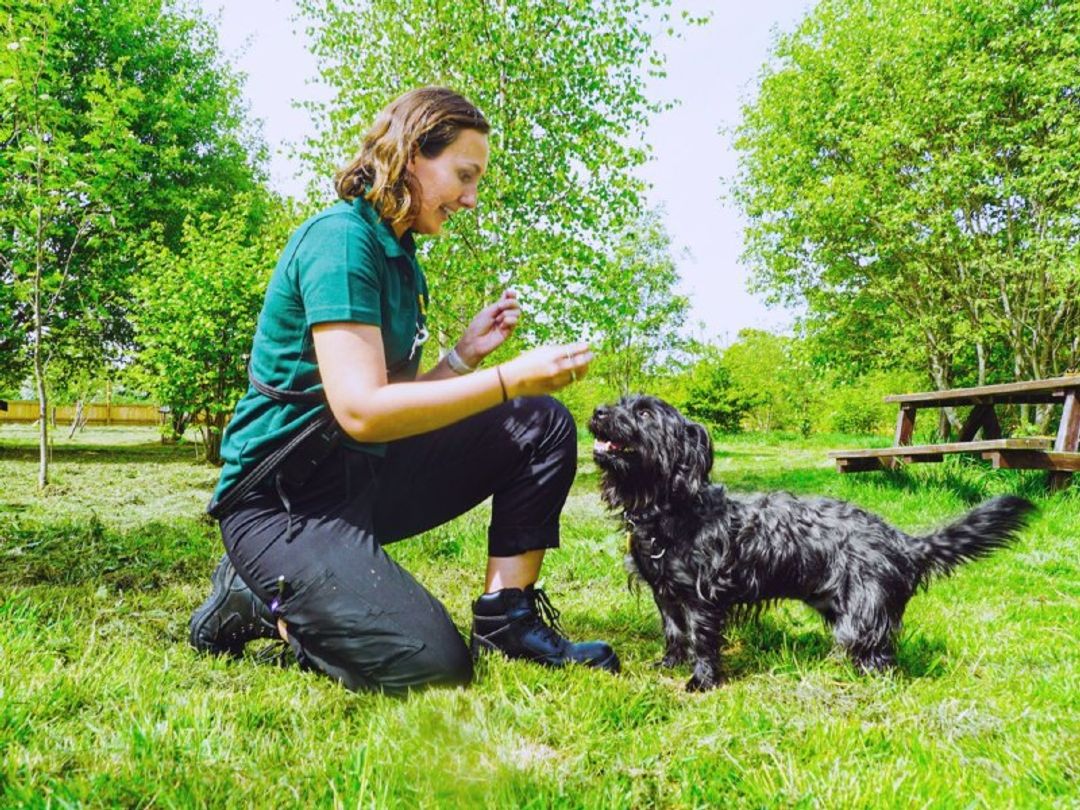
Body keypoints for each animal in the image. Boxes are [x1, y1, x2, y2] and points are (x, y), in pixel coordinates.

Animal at [591, 393, 1036, 691]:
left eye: (644, 413)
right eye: (619, 403)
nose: (596, 412)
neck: (670, 509)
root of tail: (904, 542)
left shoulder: (703, 598)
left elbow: (701, 640)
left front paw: (701, 681)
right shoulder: (665, 594)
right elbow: (673, 633)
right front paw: (669, 664)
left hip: (863, 616)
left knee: (880, 657)